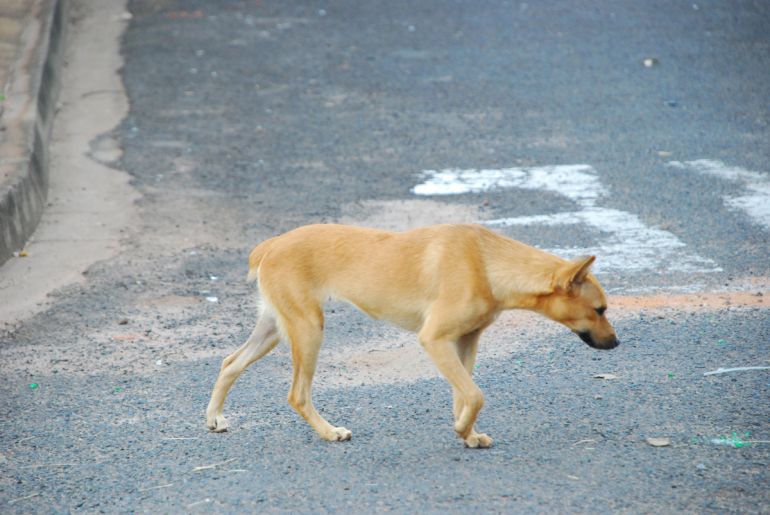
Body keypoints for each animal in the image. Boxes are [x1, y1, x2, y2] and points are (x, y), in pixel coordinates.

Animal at [206, 225, 616, 448]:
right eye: (600, 310)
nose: (616, 343)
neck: (486, 263)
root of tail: (270, 245)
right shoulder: (434, 340)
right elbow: (476, 395)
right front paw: (462, 429)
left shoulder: (465, 341)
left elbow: (463, 394)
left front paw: (467, 435)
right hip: (308, 330)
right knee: (297, 395)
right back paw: (329, 432)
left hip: (274, 329)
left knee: (229, 363)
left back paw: (215, 419)